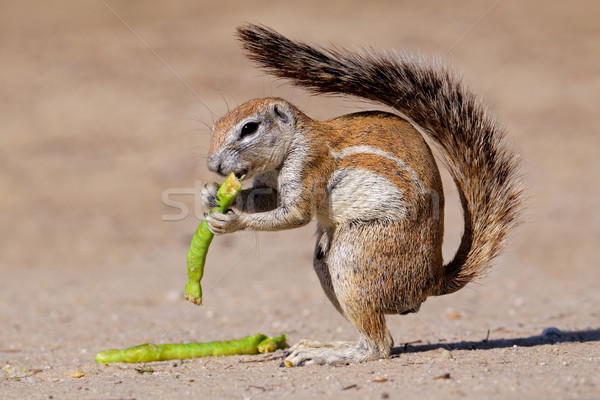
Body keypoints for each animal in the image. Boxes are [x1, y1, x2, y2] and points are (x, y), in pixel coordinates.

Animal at [199, 24, 524, 366]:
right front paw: (212, 194)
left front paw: (231, 222)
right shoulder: (269, 182)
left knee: (379, 346)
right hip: (328, 264)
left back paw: (326, 353)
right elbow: (267, 199)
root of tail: (431, 281)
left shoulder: (308, 163)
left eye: (249, 128)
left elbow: (296, 214)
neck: (293, 142)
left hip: (355, 256)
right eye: (217, 126)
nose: (213, 165)